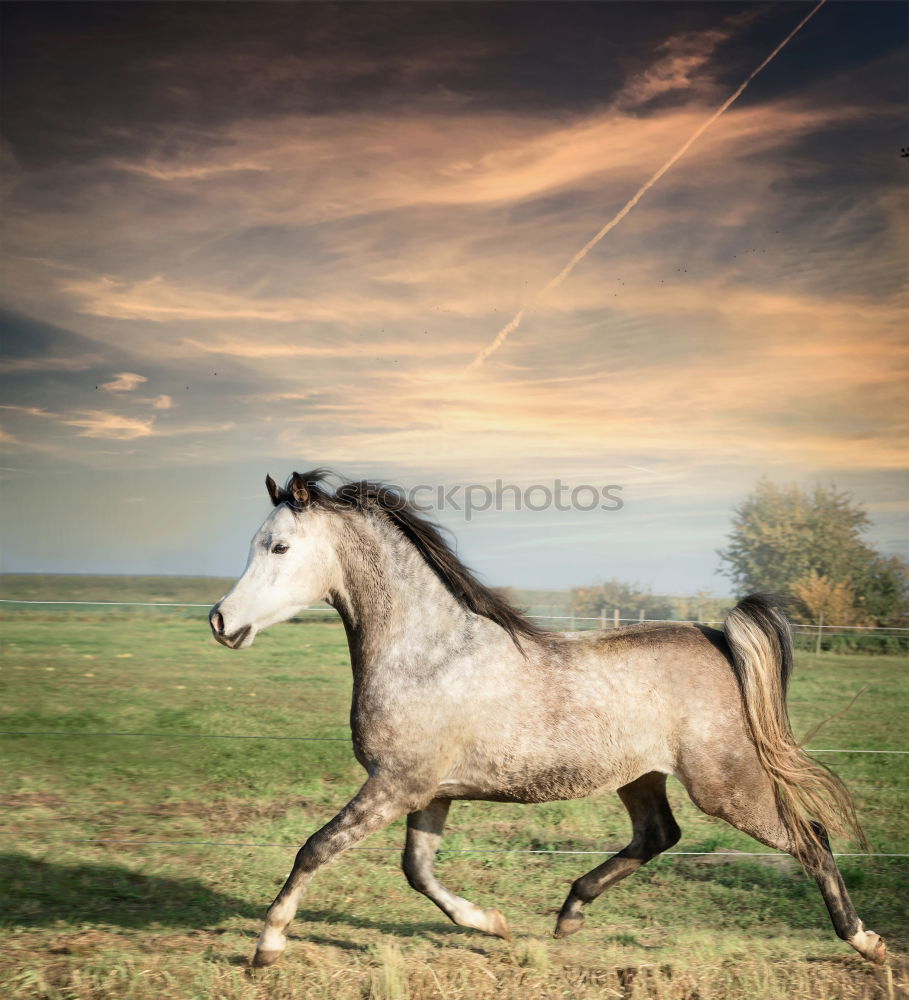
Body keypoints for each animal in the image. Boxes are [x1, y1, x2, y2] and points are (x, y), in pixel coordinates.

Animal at [209, 468, 884, 968]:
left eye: (279, 546)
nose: (220, 621)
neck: (428, 653)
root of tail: (719, 638)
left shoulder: (394, 784)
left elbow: (315, 848)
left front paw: (267, 946)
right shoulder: (428, 791)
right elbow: (418, 871)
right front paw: (492, 924)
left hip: (727, 785)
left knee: (810, 838)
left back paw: (867, 943)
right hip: (640, 776)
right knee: (659, 835)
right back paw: (569, 913)